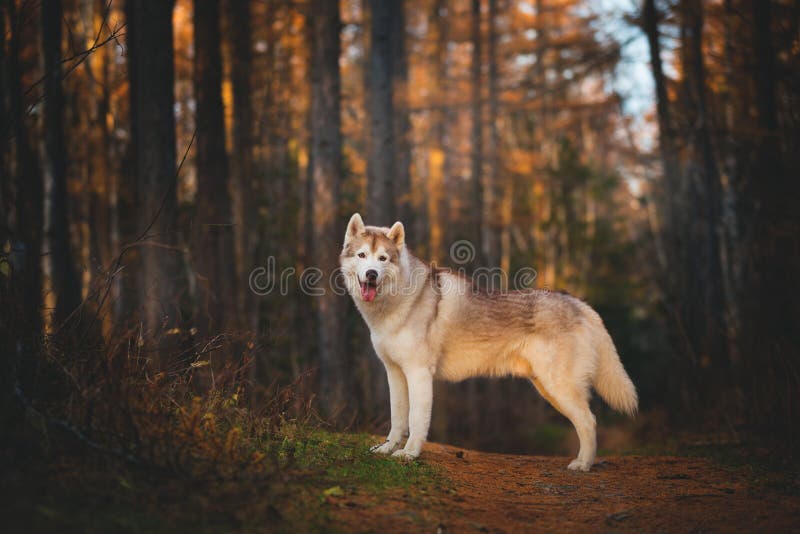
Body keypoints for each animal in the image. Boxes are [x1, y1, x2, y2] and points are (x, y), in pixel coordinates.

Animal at [338, 214, 636, 474]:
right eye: (362, 256)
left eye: (383, 258)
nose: (372, 274)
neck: (396, 303)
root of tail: (580, 303)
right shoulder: (395, 373)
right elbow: (398, 419)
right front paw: (387, 449)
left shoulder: (419, 373)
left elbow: (416, 419)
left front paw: (410, 454)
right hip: (548, 389)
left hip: (559, 387)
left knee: (589, 422)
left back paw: (583, 464)